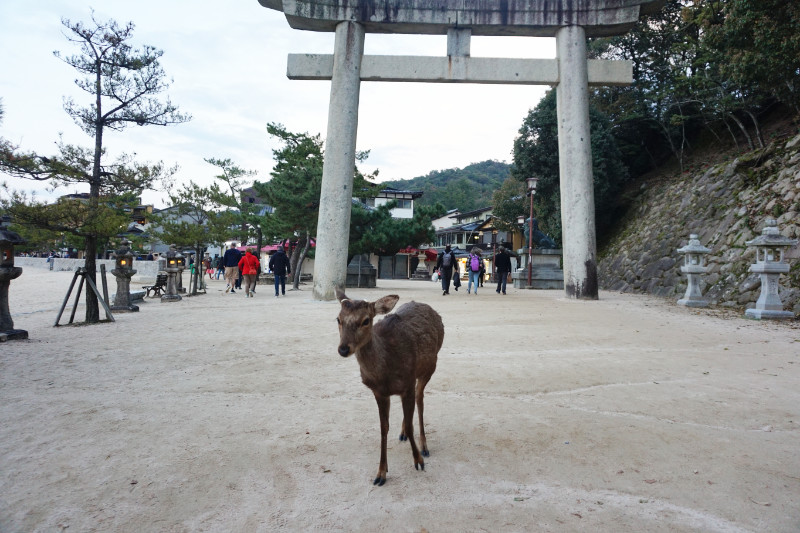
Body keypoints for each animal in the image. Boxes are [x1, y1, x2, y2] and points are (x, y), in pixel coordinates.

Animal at [335, 288, 444, 486]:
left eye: (366, 320)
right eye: (338, 319)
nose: (343, 349)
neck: (384, 375)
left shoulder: (407, 383)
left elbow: (409, 423)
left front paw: (418, 461)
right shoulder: (379, 393)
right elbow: (383, 428)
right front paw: (381, 473)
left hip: (429, 368)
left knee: (420, 399)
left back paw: (424, 446)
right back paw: (403, 434)